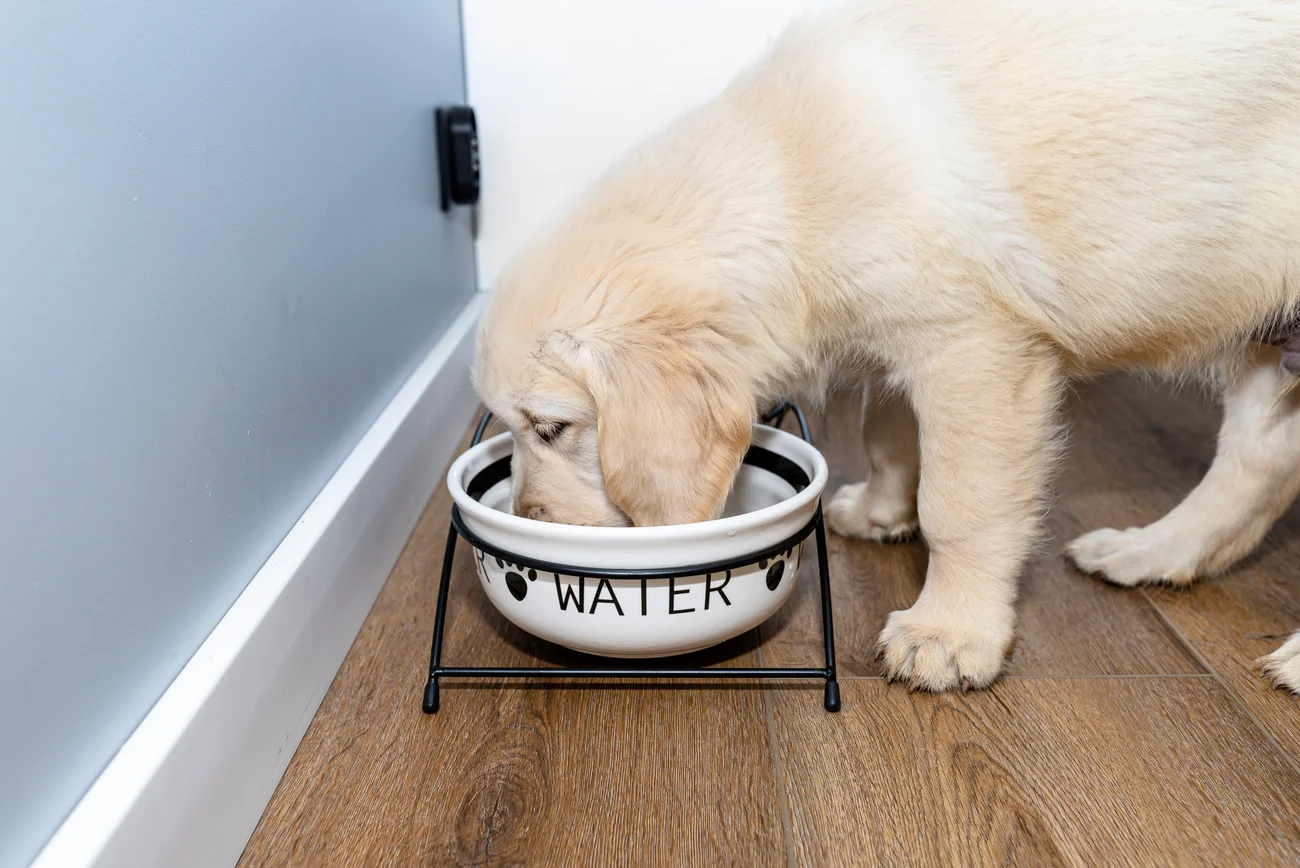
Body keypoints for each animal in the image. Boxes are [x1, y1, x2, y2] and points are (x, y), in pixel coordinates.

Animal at [475, 0, 1300, 691]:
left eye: (553, 427)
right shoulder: (900, 338)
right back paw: (1152, 551)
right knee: (1255, 469)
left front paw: (951, 632)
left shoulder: (973, 350)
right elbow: (887, 434)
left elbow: (959, 505)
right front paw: (879, 510)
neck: (790, 179)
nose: (529, 521)